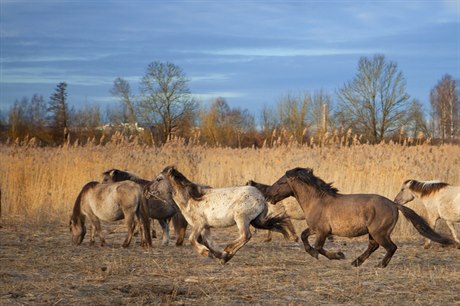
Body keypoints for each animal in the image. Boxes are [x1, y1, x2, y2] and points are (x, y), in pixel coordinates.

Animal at [146, 166, 290, 264]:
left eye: (159, 179)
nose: (147, 191)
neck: (191, 199)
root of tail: (261, 197)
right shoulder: (206, 227)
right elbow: (209, 242)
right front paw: (217, 255)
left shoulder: (199, 224)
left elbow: (192, 239)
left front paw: (206, 253)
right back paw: (226, 256)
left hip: (241, 219)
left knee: (246, 236)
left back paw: (228, 251)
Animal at [264, 167, 454, 268]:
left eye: (281, 182)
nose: (268, 195)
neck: (317, 201)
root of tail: (394, 205)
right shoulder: (315, 228)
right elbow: (304, 237)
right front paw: (332, 255)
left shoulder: (323, 231)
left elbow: (318, 247)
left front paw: (336, 255)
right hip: (373, 232)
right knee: (373, 246)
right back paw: (356, 262)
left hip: (379, 232)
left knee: (391, 247)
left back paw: (380, 265)